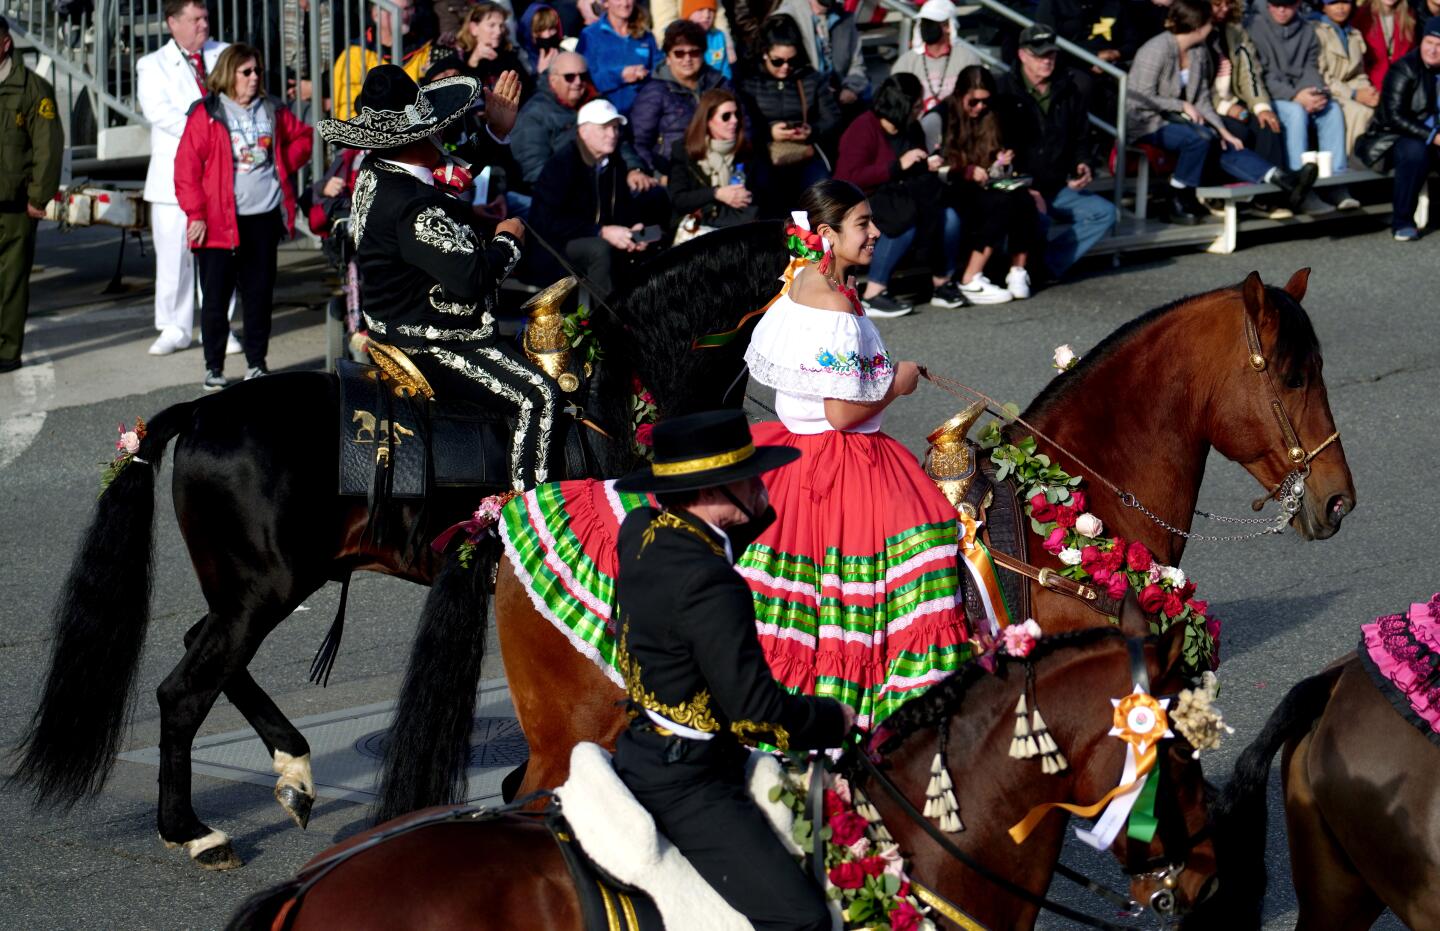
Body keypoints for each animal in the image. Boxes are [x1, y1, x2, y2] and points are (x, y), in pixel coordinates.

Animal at [8, 221, 789, 869]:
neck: (621, 389)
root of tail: (200, 411)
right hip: (264, 589)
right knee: (181, 692)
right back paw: (194, 831)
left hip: (250, 589)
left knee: (205, 652)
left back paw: (294, 770)